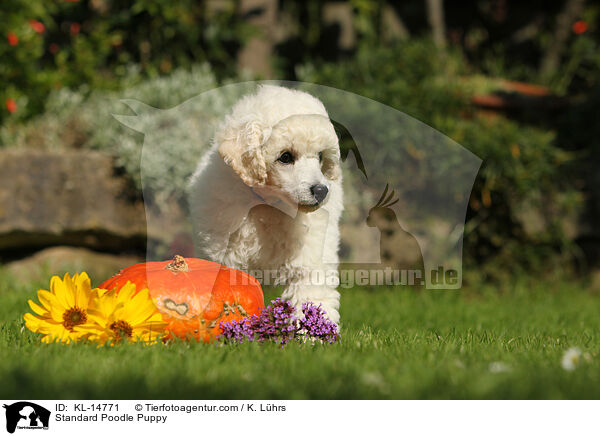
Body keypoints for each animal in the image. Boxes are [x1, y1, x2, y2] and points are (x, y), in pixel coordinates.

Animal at [190, 86, 344, 324]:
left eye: (320, 157)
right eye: (285, 157)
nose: (321, 191)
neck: (270, 205)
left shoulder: (311, 254)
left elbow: (310, 292)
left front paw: (313, 331)